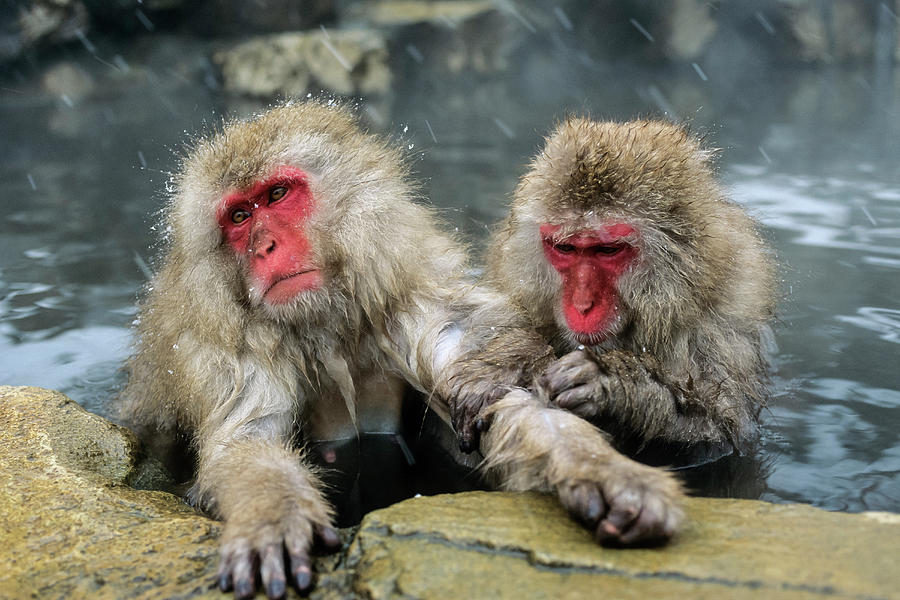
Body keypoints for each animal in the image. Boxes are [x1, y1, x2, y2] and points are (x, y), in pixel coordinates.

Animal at [118, 104, 684, 600]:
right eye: (238, 216)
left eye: (276, 194)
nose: (263, 248)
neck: (327, 325)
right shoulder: (225, 349)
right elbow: (245, 443)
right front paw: (271, 516)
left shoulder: (413, 305)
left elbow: (501, 402)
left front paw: (607, 473)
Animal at [464, 119, 772, 468]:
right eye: (566, 248)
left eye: (607, 250)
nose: (583, 305)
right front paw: (514, 358)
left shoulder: (725, 327)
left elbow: (721, 438)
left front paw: (613, 384)